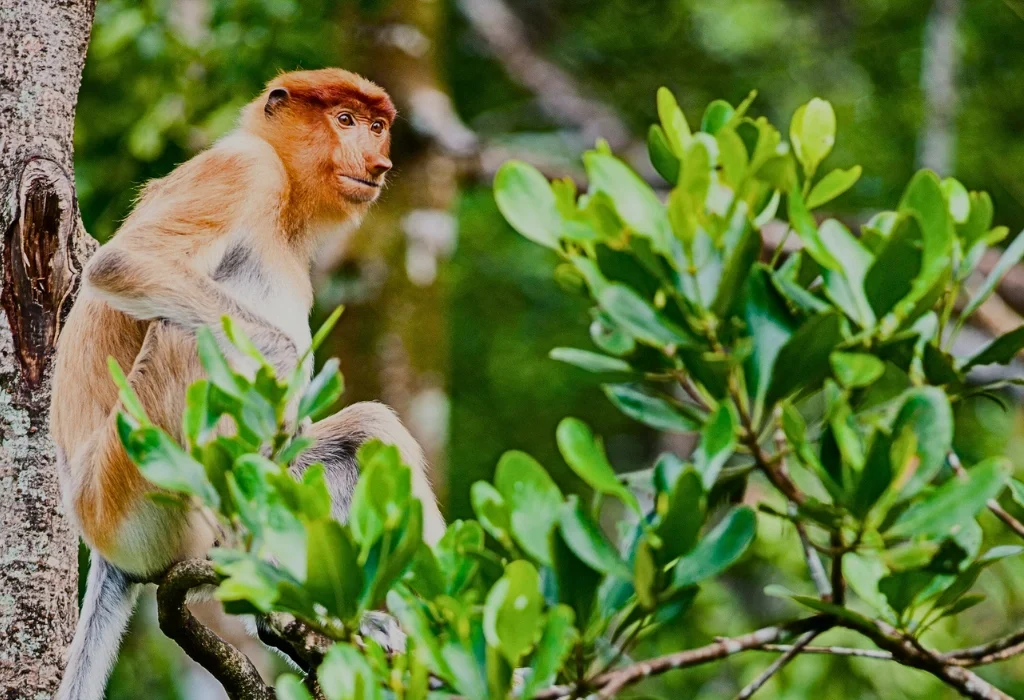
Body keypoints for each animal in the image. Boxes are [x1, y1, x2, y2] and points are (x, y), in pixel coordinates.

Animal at [49, 68, 446, 700]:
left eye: (377, 126)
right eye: (345, 120)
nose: (378, 162)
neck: (284, 198)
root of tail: (100, 542)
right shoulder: (242, 169)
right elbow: (123, 263)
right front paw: (292, 367)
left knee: (369, 429)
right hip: (130, 491)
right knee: (184, 338)